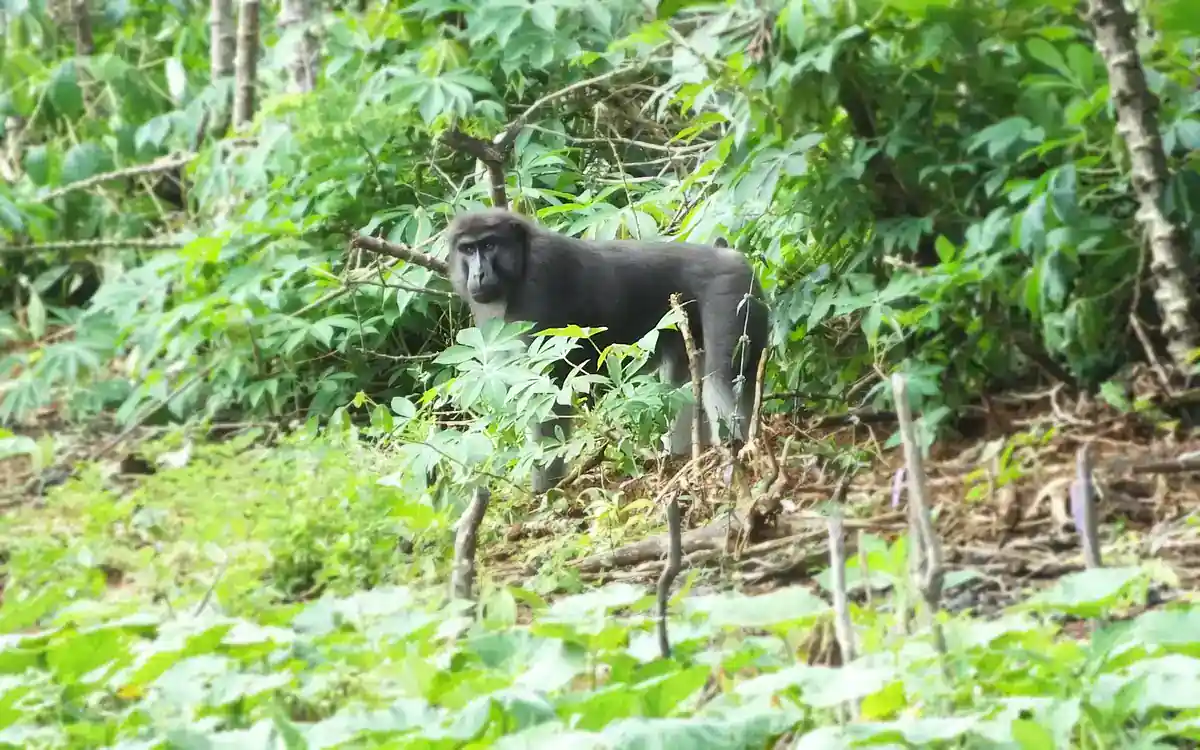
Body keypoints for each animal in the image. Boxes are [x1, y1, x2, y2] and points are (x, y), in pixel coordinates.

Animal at [445, 209, 769, 493]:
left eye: (488, 245)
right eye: (468, 249)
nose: (479, 274)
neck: (521, 266)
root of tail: (729, 255)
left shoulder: (539, 282)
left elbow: (548, 393)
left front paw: (544, 491)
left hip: (730, 292)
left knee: (718, 382)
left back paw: (736, 456)